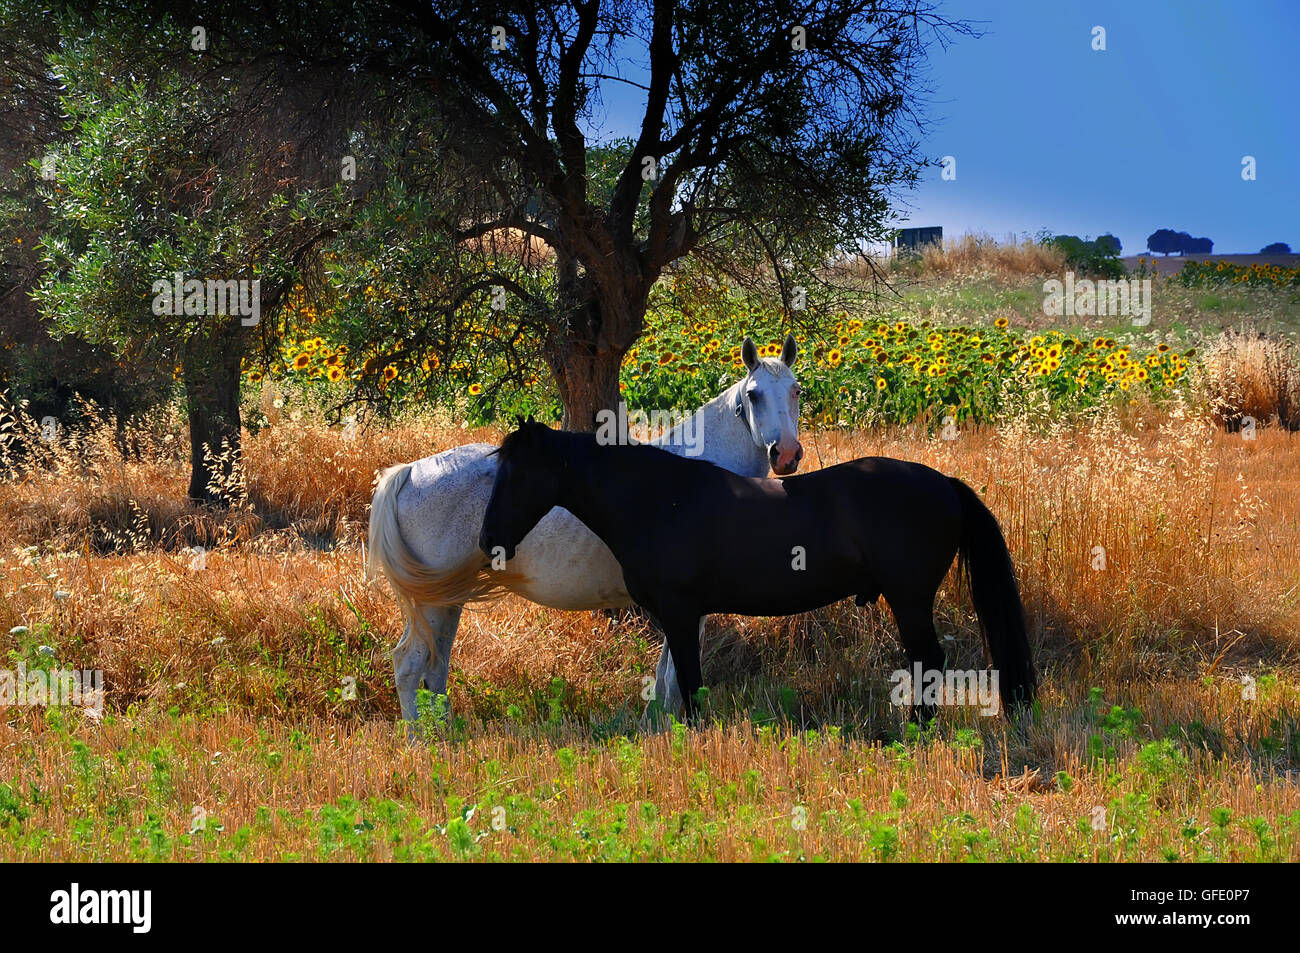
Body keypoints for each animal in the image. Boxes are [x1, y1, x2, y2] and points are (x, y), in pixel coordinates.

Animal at [367, 335, 804, 722]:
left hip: (447, 600)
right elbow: (674, 679)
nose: (785, 454)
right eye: (754, 395)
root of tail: (409, 472)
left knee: (436, 666)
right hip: (431, 602)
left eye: (796, 390)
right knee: (409, 664)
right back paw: (421, 740)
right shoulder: (686, 607)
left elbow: (666, 678)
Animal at [478, 420, 1037, 721]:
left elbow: (690, 683)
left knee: (929, 661)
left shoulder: (681, 613)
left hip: (911, 598)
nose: (488, 541)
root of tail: (945, 484)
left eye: (519, 474)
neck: (657, 500)